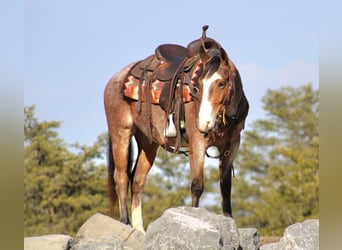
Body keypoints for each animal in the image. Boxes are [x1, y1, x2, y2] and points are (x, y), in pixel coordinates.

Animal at [103, 25, 248, 232]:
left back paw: (139, 229)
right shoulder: (198, 143)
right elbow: (197, 185)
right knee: (121, 177)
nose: (204, 123)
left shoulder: (232, 146)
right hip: (121, 133)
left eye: (221, 83)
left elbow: (225, 187)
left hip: (148, 143)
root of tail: (116, 78)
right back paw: (124, 222)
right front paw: (196, 219)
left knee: (137, 181)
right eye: (197, 87)